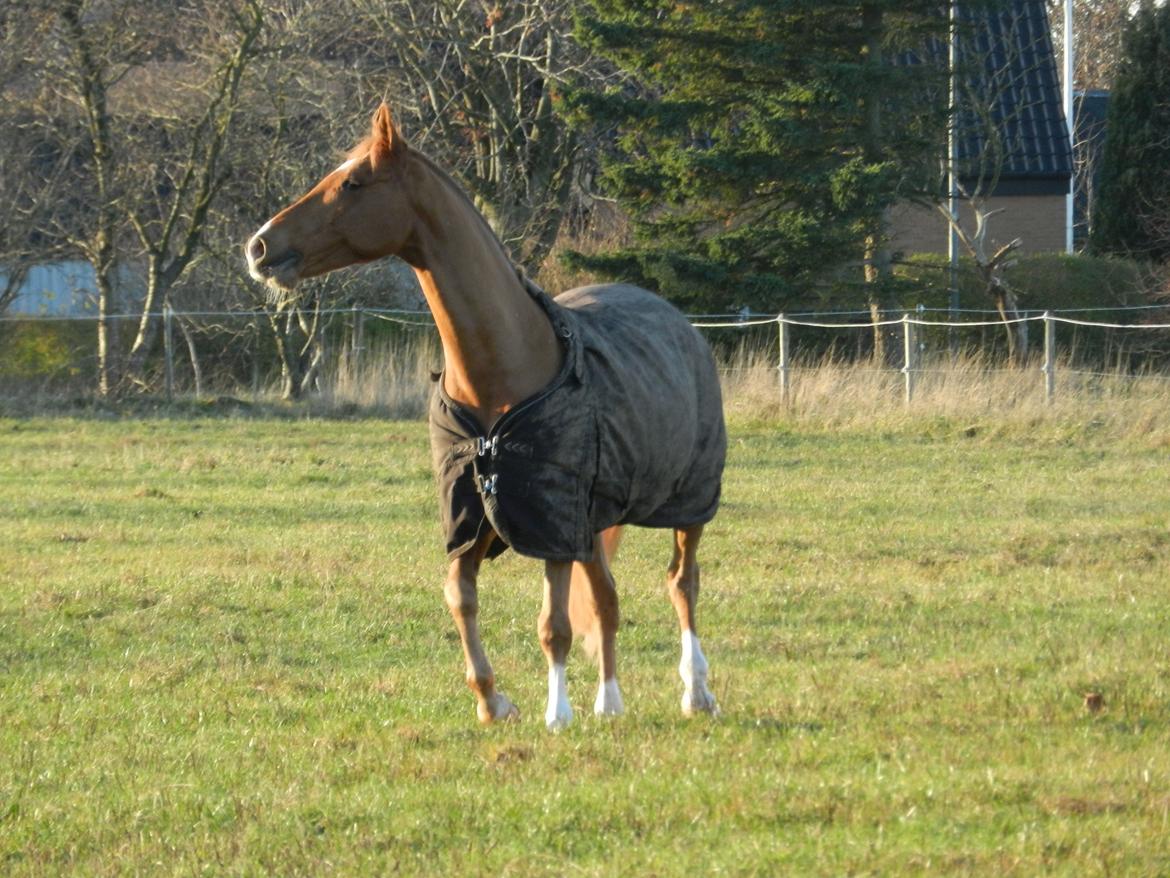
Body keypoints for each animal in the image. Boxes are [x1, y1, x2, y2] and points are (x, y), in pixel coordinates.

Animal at [245, 104, 726, 730]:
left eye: (353, 183)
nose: (258, 247)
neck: (500, 374)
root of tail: (676, 318)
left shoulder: (551, 524)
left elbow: (554, 626)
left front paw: (556, 713)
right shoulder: (474, 519)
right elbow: (462, 599)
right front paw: (494, 701)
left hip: (688, 503)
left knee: (682, 583)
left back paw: (696, 692)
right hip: (594, 519)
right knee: (607, 598)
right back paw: (609, 702)